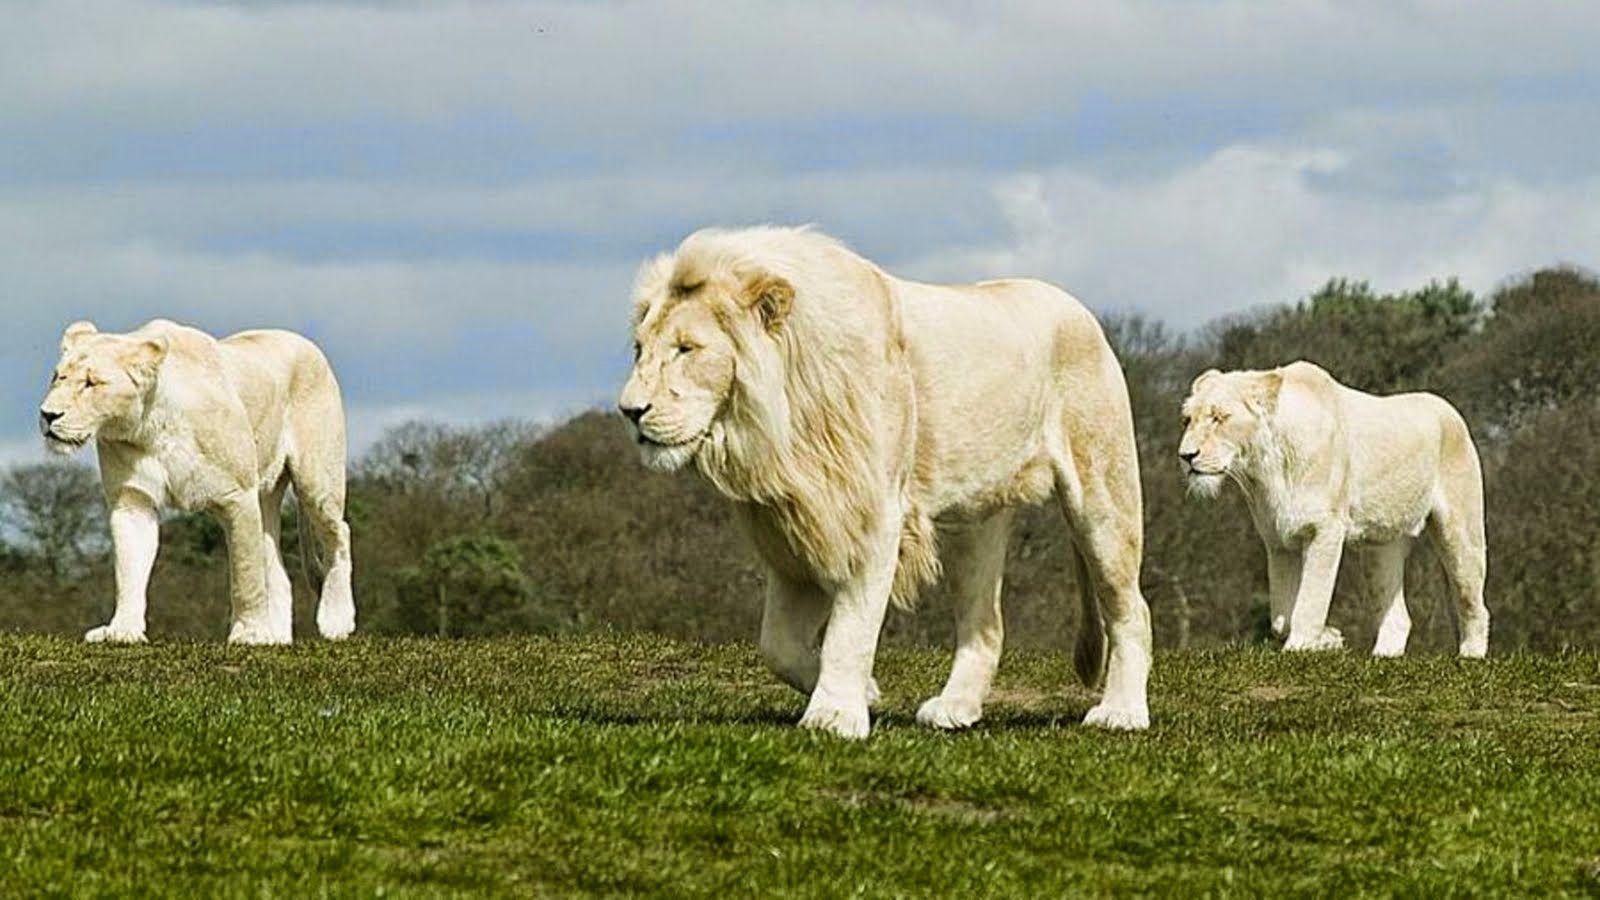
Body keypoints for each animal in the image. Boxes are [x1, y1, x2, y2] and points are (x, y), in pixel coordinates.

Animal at [38, 319, 355, 645]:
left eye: (91, 383)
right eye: (57, 377)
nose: (47, 415)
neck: (149, 426)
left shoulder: (238, 496)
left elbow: (246, 573)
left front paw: (249, 633)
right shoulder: (132, 500)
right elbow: (129, 569)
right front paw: (122, 630)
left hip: (316, 479)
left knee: (338, 533)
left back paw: (335, 621)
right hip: (266, 495)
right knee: (276, 565)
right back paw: (276, 637)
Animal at [619, 226, 1153, 738]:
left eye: (687, 349)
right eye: (640, 349)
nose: (629, 411)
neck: (775, 428)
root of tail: (1081, 312)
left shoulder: (869, 515)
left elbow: (850, 628)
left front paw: (835, 716)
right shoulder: (802, 526)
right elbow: (778, 644)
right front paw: (867, 693)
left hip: (1102, 494)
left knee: (1131, 609)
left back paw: (1121, 713)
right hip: (973, 519)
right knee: (985, 624)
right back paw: (955, 709)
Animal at [1179, 361, 1489, 657]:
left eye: (1219, 417)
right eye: (1188, 419)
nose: (1186, 456)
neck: (1265, 469)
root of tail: (1450, 411)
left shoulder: (1324, 529)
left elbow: (1310, 600)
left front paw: (1301, 647)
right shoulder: (1279, 541)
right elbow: (1281, 618)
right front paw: (1329, 639)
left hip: (1460, 531)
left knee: (1472, 601)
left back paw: (1470, 656)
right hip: (1380, 548)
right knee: (1398, 617)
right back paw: (1382, 658)